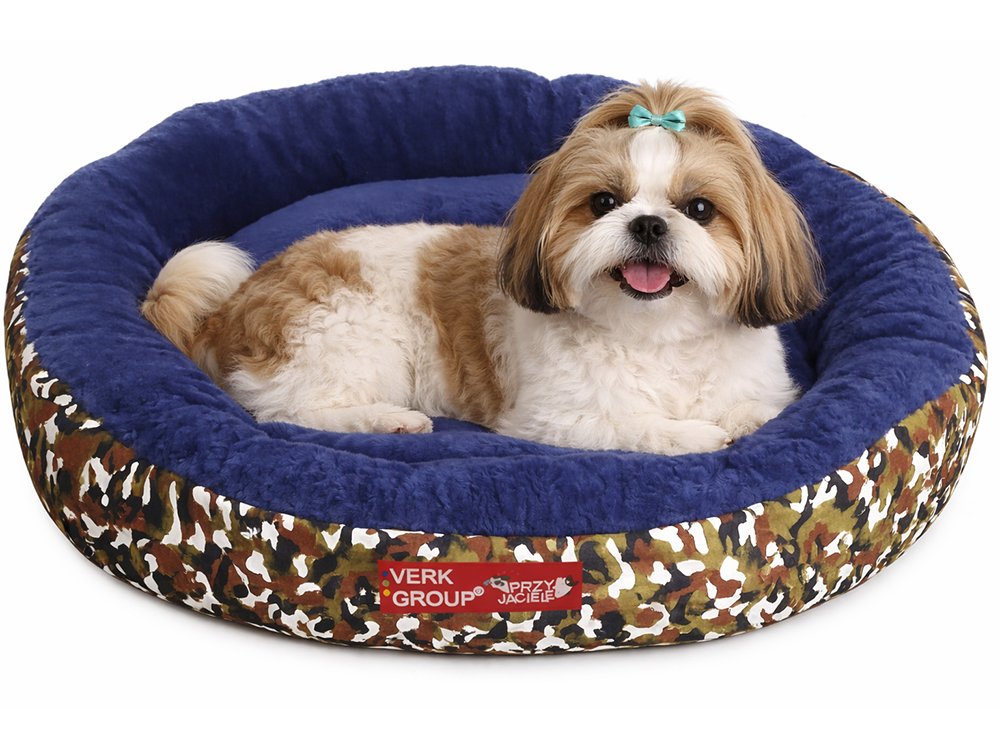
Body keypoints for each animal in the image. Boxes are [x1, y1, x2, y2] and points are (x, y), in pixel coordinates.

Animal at [142, 82, 822, 455]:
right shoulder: (555, 421)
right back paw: (390, 421)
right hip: (350, 340)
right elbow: (638, 428)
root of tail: (233, 307)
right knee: (285, 413)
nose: (649, 224)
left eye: (699, 210)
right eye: (603, 202)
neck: (658, 338)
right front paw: (697, 436)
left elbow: (758, 412)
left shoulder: (767, 390)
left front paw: (735, 422)